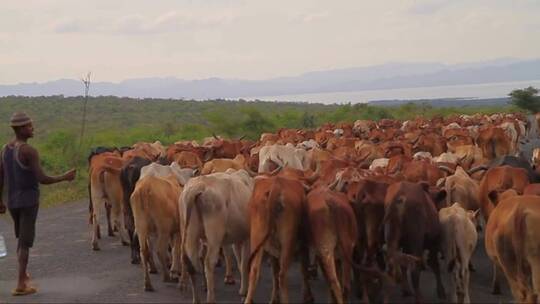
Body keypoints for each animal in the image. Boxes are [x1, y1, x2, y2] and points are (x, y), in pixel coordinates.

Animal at [180, 170, 254, 302]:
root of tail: (198, 185)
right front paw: (244, 291)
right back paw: (211, 299)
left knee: (189, 261)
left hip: (189, 233)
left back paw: (196, 299)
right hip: (214, 236)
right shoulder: (247, 236)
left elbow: (239, 260)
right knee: (209, 262)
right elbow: (244, 262)